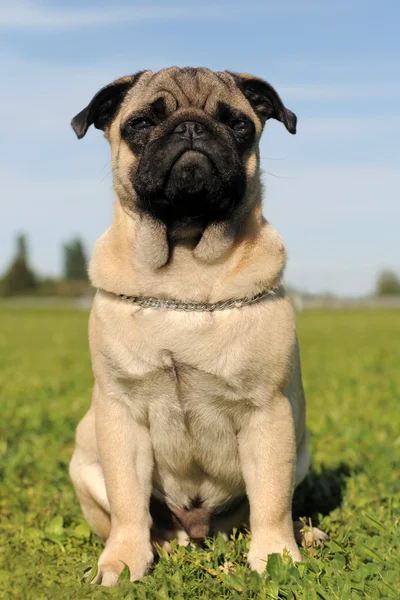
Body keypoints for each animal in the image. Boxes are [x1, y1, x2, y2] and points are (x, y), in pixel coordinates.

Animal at [69, 67, 316, 584]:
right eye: (142, 122)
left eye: (238, 124)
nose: (191, 128)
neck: (183, 271)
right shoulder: (121, 415)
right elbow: (128, 502)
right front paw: (124, 560)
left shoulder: (268, 414)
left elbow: (270, 500)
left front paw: (277, 557)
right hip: (86, 456)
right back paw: (159, 542)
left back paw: (306, 536)